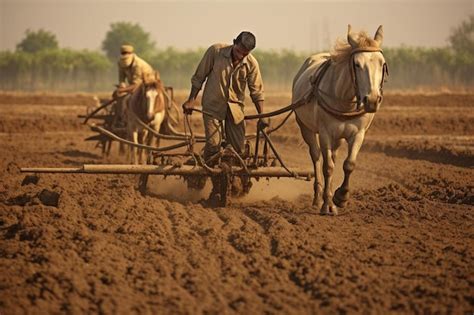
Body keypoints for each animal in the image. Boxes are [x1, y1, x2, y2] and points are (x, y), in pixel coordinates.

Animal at [292, 25, 388, 216]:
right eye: (357, 64)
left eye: (382, 63)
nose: (372, 100)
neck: (344, 101)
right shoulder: (325, 134)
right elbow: (327, 167)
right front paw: (327, 204)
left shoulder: (358, 134)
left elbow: (349, 164)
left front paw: (341, 197)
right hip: (306, 129)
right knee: (316, 157)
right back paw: (318, 197)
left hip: (337, 138)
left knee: (333, 158)